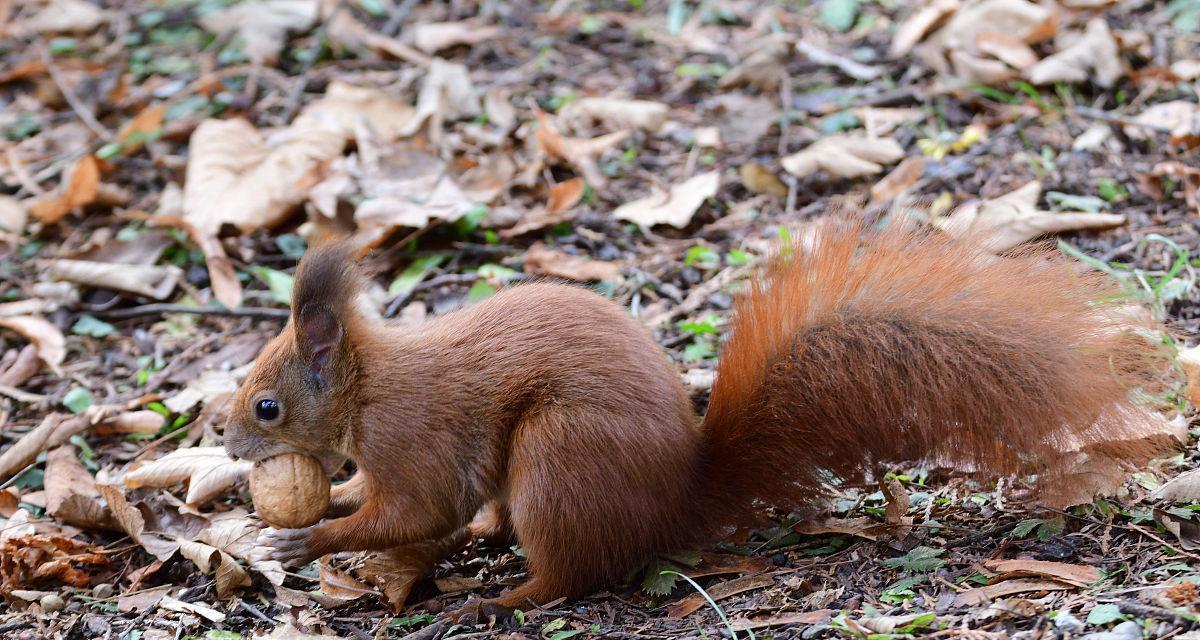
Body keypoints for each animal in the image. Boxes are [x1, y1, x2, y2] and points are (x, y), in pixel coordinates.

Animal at [223, 220, 1161, 614]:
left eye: (267, 407)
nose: (227, 446)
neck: (364, 386)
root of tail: (673, 503)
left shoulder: (410, 439)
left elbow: (415, 512)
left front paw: (309, 537)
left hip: (559, 456)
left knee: (567, 574)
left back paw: (495, 600)